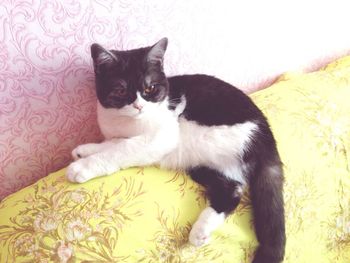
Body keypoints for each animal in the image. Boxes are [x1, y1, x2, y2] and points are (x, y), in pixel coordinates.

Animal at [67, 37, 286, 263]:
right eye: (120, 90)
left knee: (234, 188)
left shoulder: (160, 137)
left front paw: (83, 167)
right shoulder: (120, 133)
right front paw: (86, 150)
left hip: (203, 137)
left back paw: (200, 230)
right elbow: (115, 142)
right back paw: (201, 230)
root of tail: (266, 135)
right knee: (232, 188)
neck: (126, 121)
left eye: (150, 88)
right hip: (206, 164)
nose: (139, 106)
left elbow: (123, 148)